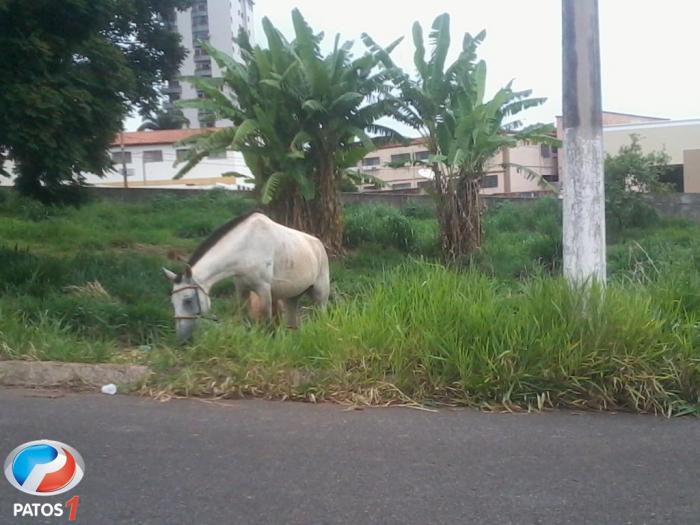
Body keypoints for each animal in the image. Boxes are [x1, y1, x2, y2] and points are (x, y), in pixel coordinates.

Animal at [164, 211, 330, 342]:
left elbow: (267, 324)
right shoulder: (242, 288)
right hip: (292, 297)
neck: (246, 246)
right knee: (292, 323)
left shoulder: (264, 290)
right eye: (172, 302)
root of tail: (319, 244)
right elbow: (245, 320)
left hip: (320, 295)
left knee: (321, 317)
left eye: (187, 300)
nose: (182, 340)